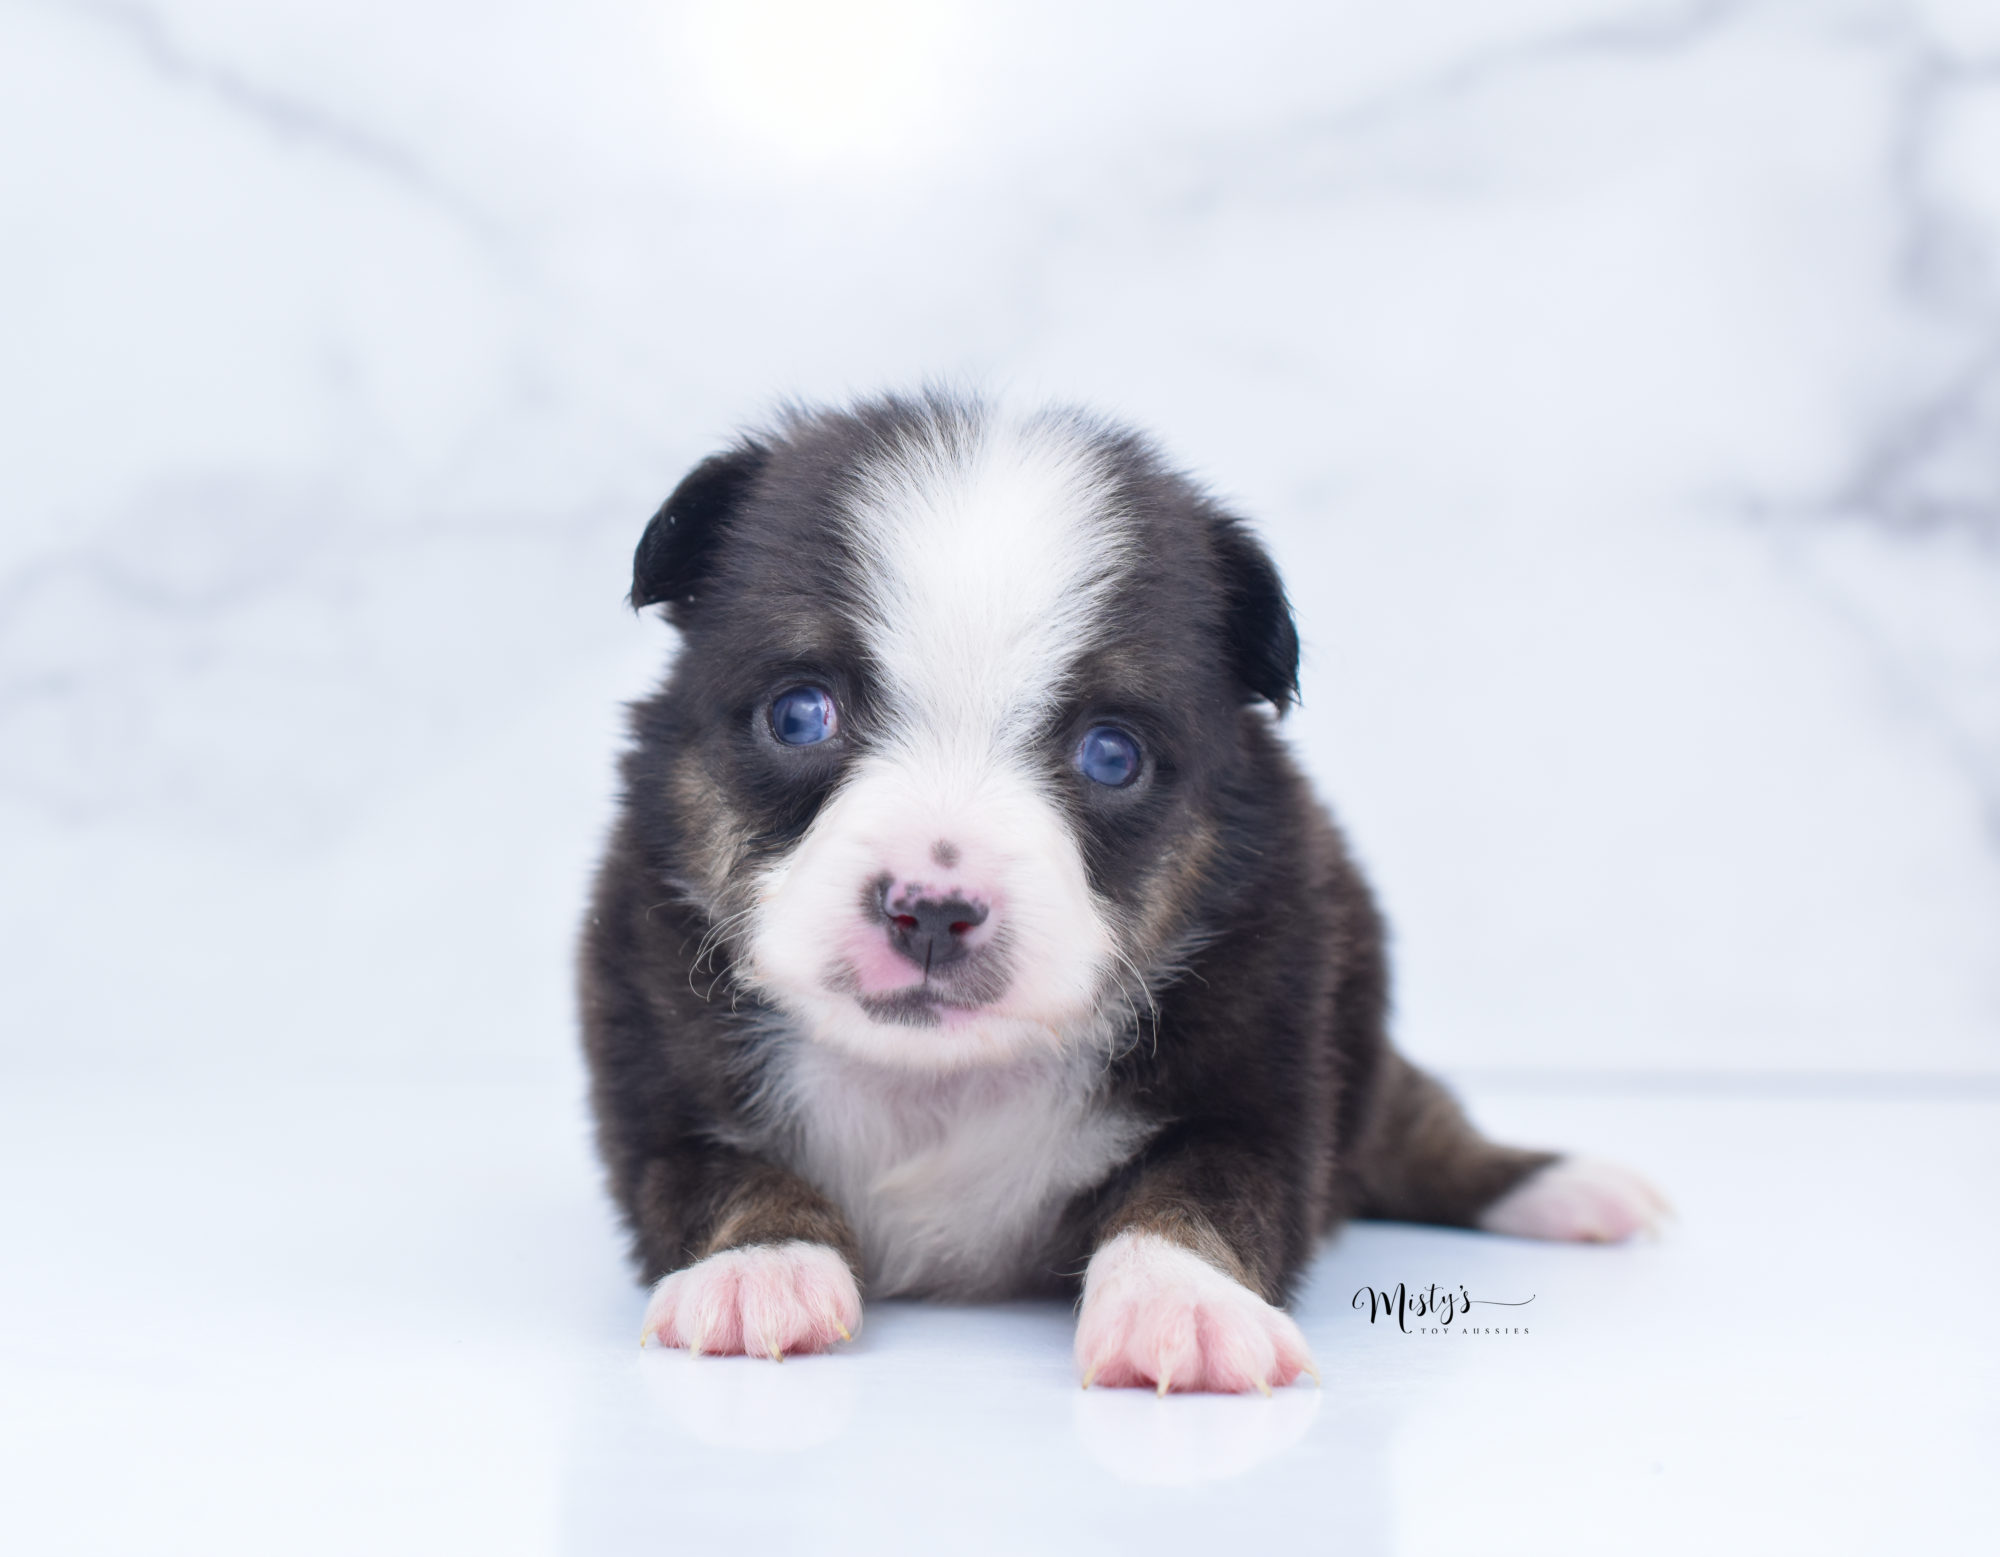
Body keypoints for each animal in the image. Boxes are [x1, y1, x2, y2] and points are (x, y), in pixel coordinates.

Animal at [584, 394, 1664, 1392]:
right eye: (799, 713)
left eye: (1111, 754)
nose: (930, 910)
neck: (941, 1079)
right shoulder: (653, 1084)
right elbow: (722, 1172)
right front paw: (757, 1267)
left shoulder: (1258, 1095)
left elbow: (1190, 1193)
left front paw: (1181, 1303)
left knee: (1422, 1129)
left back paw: (1570, 1189)